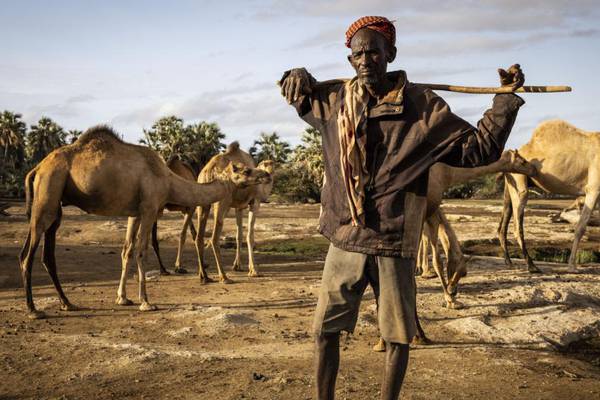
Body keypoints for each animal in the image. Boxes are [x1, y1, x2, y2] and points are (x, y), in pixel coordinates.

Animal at [195, 141, 274, 282]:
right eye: (247, 171)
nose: (268, 175)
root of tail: (208, 171)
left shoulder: (238, 207)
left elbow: (239, 235)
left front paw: (237, 266)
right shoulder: (255, 202)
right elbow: (250, 236)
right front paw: (254, 270)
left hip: (203, 202)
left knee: (199, 237)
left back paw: (204, 276)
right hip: (221, 202)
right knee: (214, 238)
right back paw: (223, 277)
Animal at [496, 120, 600, 274]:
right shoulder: (594, 188)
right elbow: (581, 227)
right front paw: (572, 266)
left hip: (509, 183)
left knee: (503, 223)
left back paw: (509, 262)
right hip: (519, 177)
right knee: (517, 225)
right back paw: (532, 266)